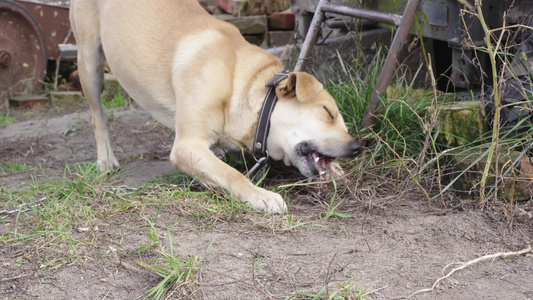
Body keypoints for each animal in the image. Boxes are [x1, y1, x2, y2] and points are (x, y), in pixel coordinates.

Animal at [70, 0, 360, 216]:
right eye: (328, 112)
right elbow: (232, 175)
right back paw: (106, 159)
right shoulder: (187, 146)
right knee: (97, 115)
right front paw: (261, 196)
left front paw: (335, 171)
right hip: (89, 61)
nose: (357, 147)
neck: (242, 84)